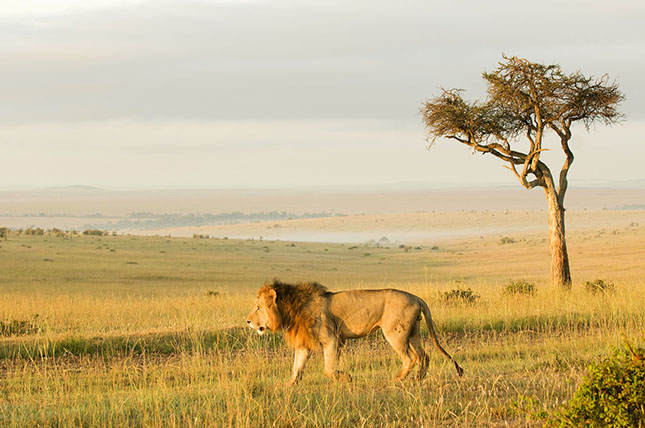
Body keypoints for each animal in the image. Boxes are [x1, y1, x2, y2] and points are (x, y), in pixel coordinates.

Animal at [244, 278, 460, 384]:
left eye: (258, 308)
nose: (247, 321)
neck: (291, 309)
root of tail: (417, 297)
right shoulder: (304, 344)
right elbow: (296, 367)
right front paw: (290, 385)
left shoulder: (331, 338)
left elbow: (328, 369)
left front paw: (346, 378)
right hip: (413, 332)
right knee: (424, 356)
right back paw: (418, 378)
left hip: (395, 333)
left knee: (410, 358)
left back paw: (398, 379)